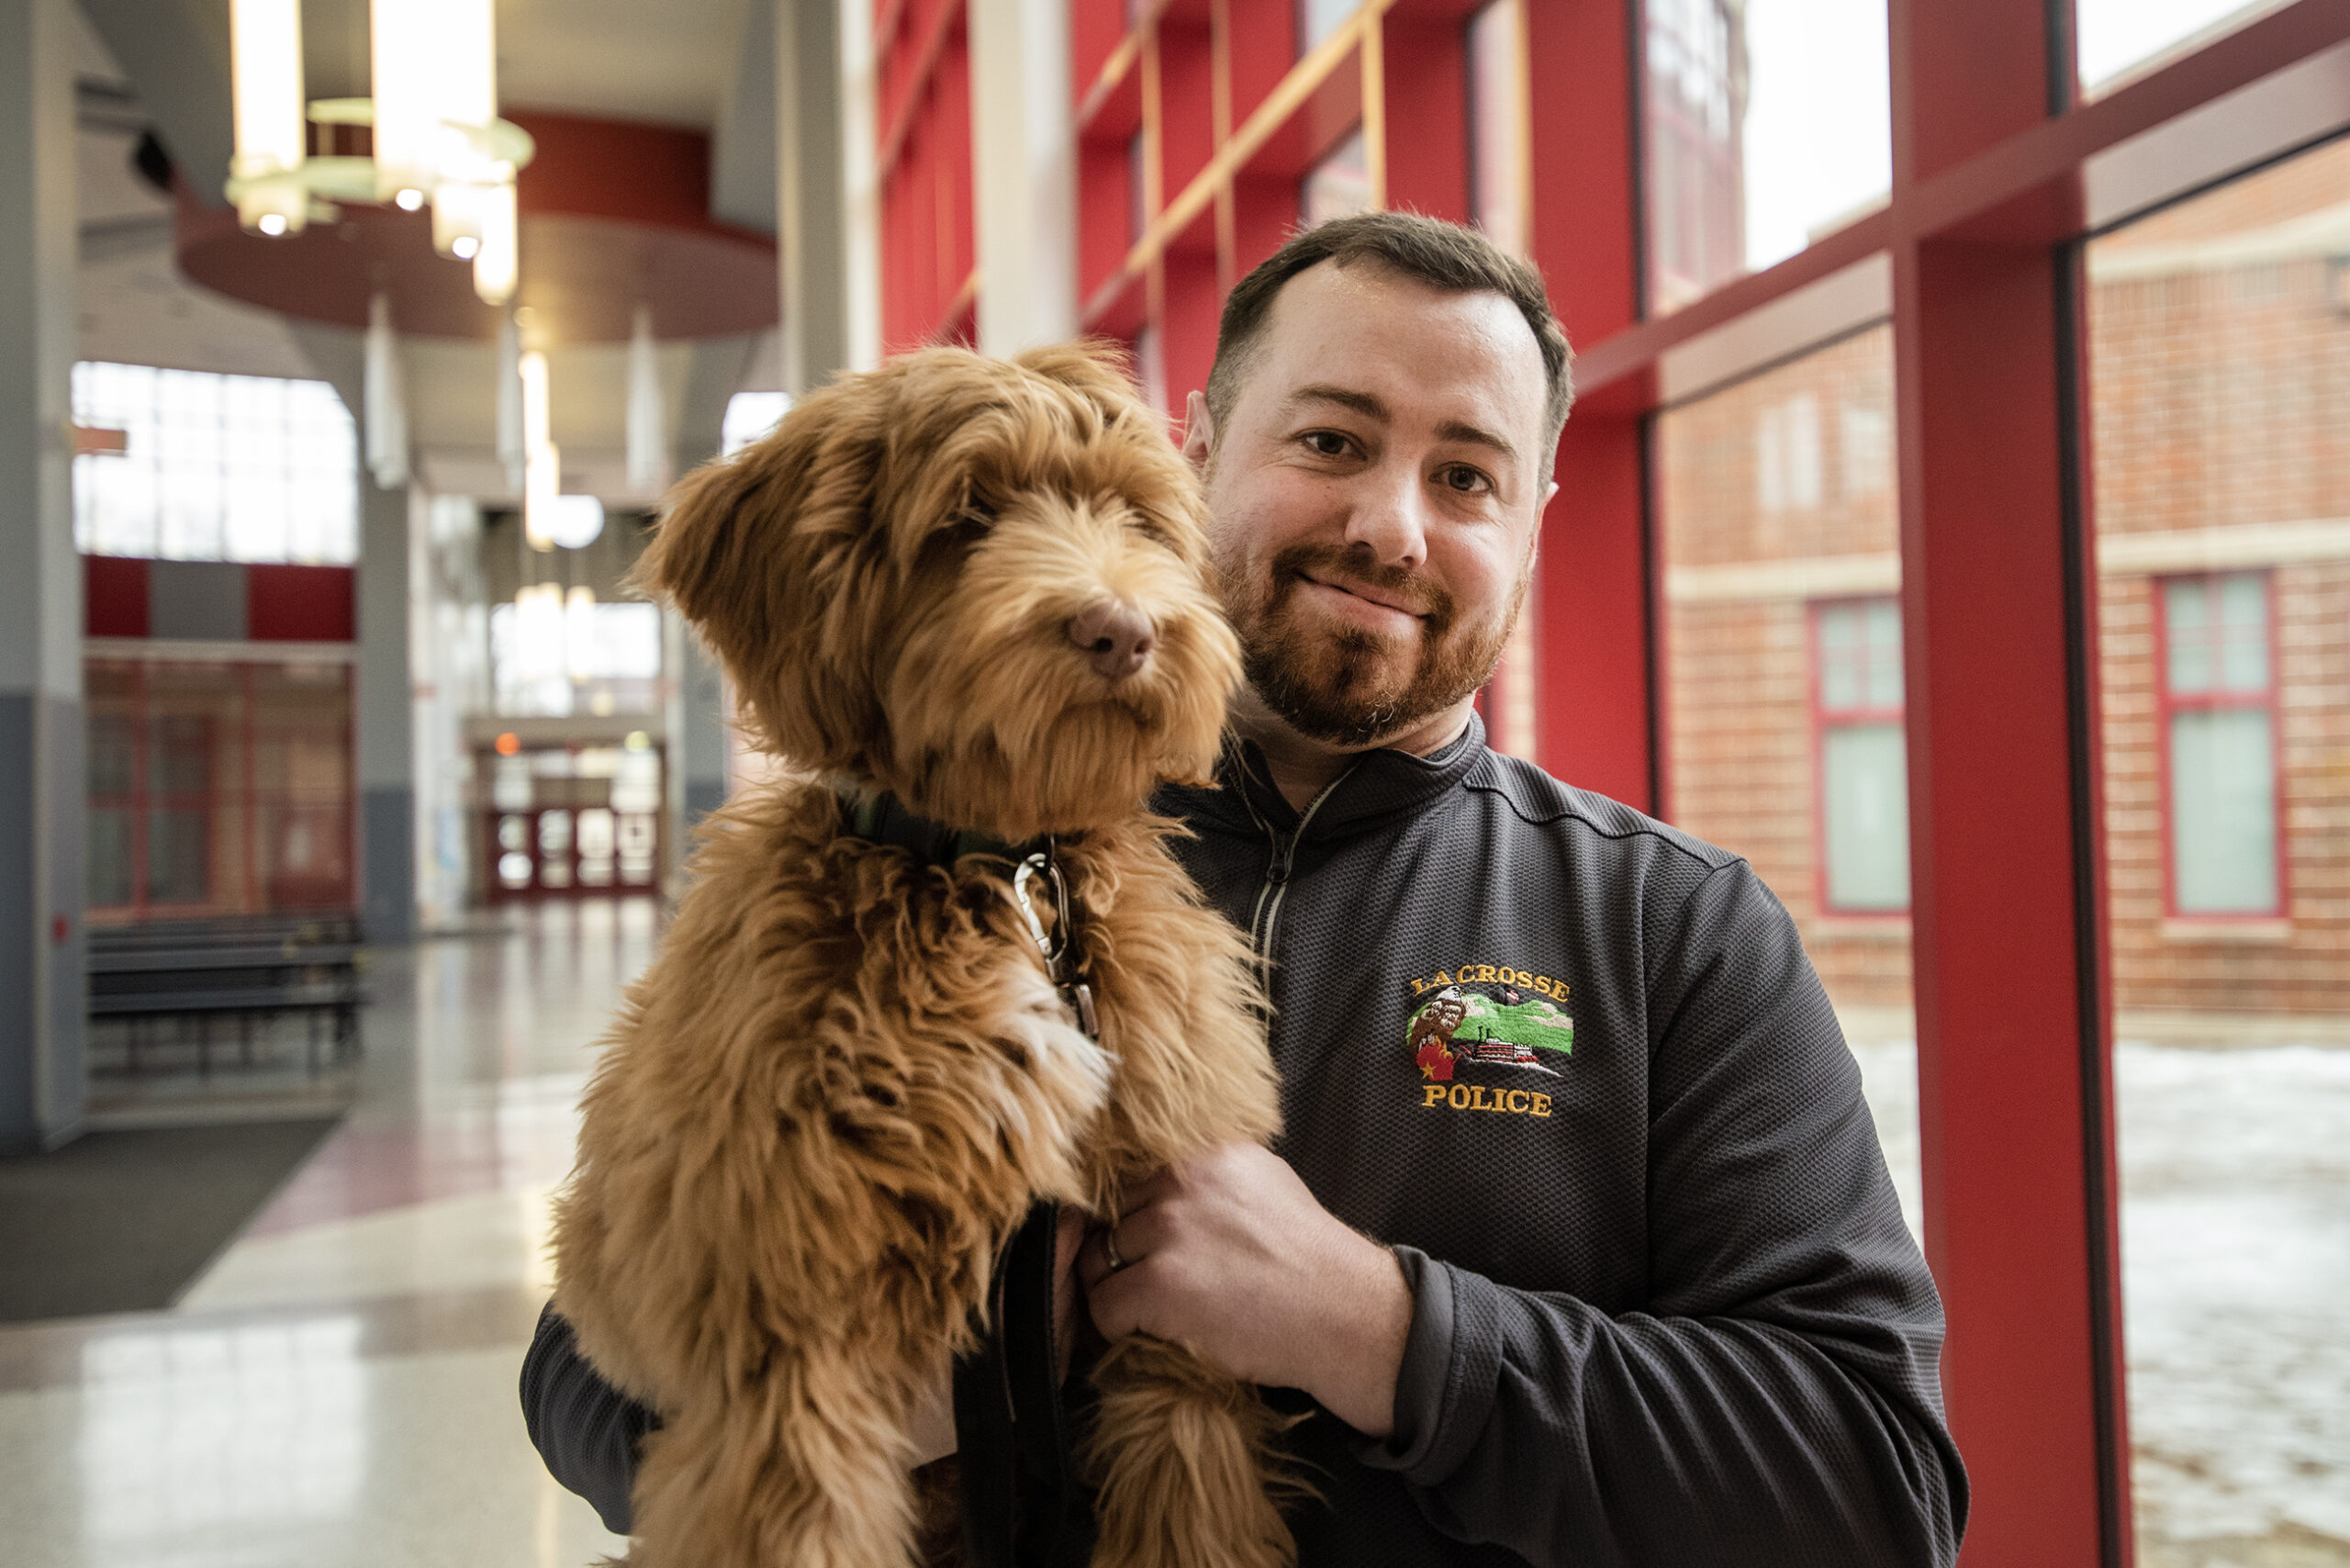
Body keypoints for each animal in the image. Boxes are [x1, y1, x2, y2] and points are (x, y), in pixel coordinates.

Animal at [550, 345, 1287, 1568]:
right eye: (967, 517)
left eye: (1134, 515)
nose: (1122, 630)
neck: (1000, 875)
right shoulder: (790, 1355)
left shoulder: (1169, 1323)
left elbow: (1189, 1506)